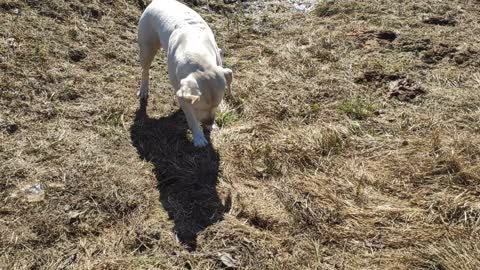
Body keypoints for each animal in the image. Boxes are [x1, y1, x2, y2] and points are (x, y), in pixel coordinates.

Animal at [137, 0, 232, 147]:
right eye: (200, 107)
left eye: (217, 105)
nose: (209, 123)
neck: (198, 55)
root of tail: (157, 1)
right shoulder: (182, 95)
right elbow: (191, 118)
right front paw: (199, 137)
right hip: (147, 48)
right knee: (145, 70)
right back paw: (144, 89)